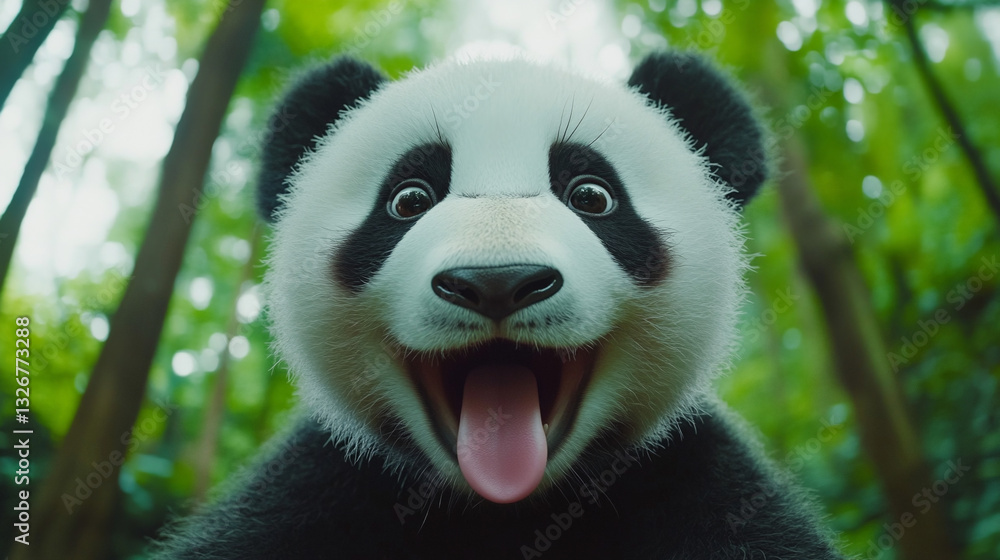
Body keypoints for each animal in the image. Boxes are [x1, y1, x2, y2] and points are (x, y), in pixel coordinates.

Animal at [152, 51, 845, 559]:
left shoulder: (698, 482)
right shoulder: (318, 493)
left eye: (592, 195)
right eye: (408, 199)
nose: (497, 281)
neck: (506, 509)